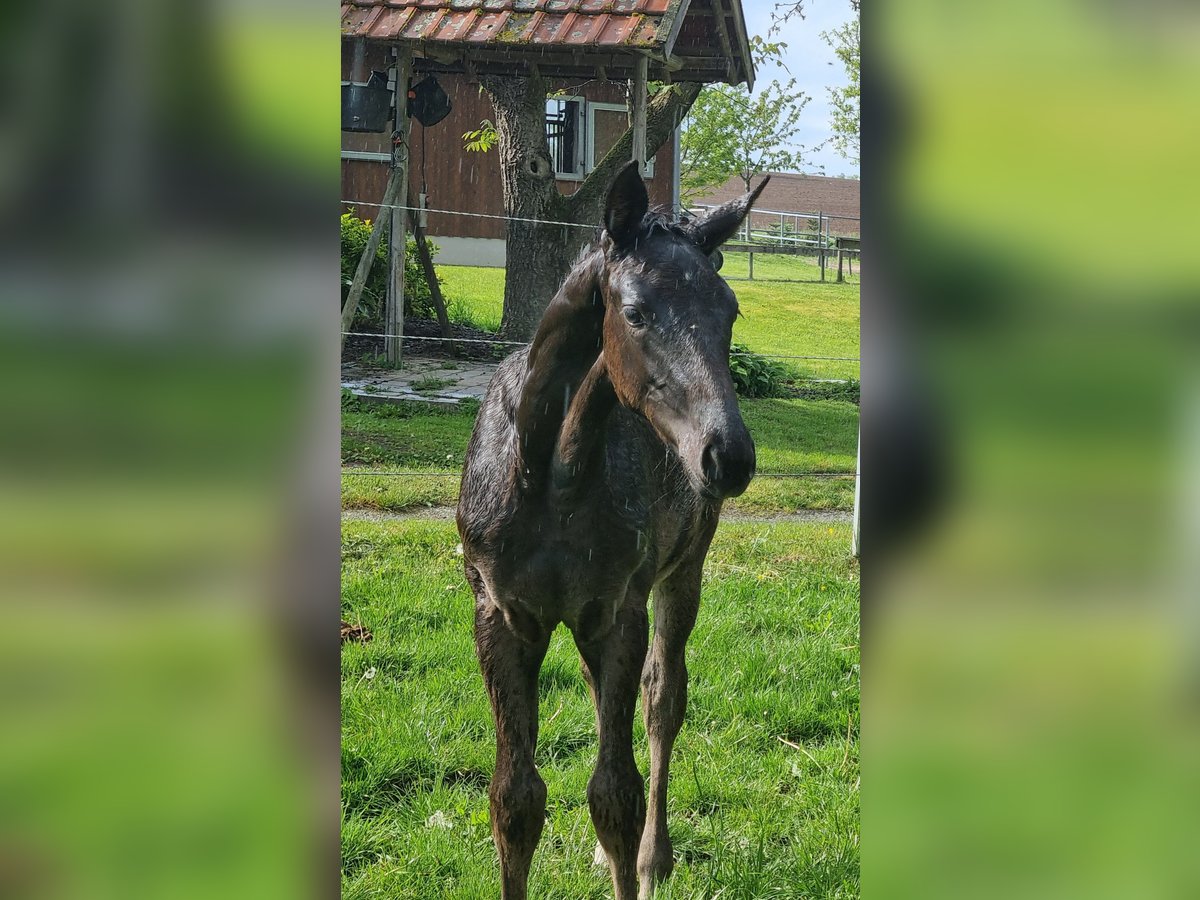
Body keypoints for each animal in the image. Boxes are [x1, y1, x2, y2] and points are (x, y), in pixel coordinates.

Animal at [453, 164, 772, 900]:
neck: (551, 474)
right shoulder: (502, 614)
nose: (729, 456)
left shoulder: (619, 607)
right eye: (635, 312)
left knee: (663, 699)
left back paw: (657, 856)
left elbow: (614, 794)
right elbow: (514, 798)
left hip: (683, 574)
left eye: (731, 312)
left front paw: (635, 856)